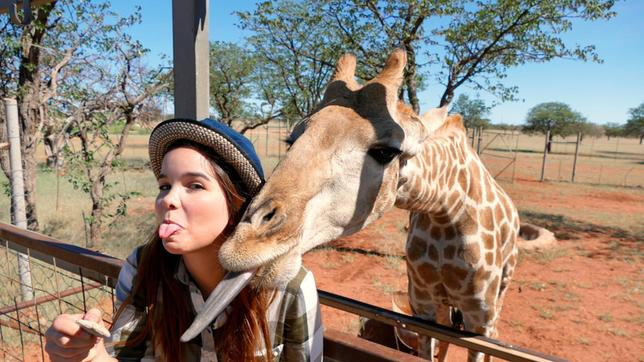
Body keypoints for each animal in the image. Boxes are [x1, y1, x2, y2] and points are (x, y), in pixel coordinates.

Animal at [190, 49, 520, 360]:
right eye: (291, 140)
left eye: (387, 151)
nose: (242, 247)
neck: (446, 210)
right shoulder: (422, 304)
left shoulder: (479, 319)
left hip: (497, 300)